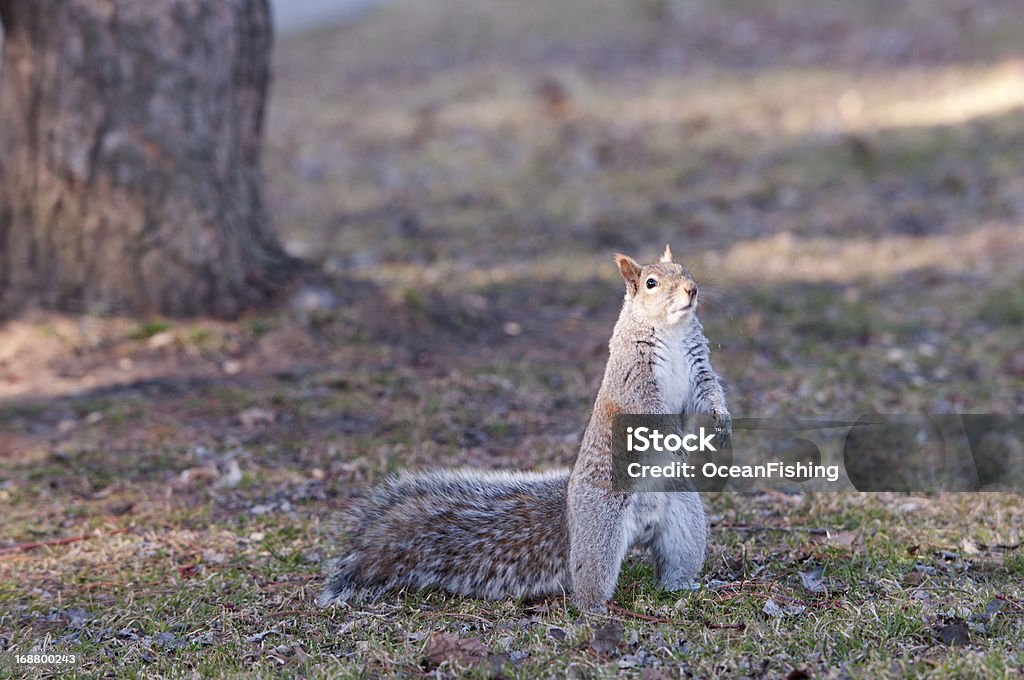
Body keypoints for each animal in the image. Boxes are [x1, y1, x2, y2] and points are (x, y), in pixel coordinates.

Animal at [319, 246, 729, 614]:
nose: (692, 290)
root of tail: (570, 514)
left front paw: (720, 424)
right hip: (601, 526)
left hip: (684, 519)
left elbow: (707, 394)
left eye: (686, 269)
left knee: (677, 558)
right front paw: (677, 438)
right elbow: (650, 412)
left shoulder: (698, 367)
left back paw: (685, 585)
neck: (670, 331)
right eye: (650, 283)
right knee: (589, 577)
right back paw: (596, 607)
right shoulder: (634, 381)